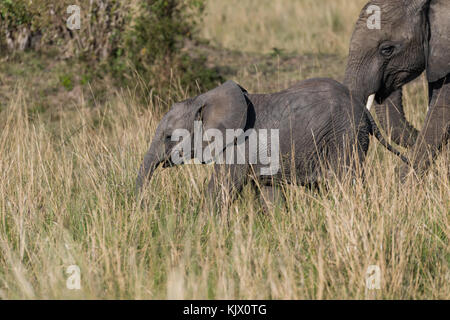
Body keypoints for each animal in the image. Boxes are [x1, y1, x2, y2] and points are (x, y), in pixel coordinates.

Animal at [136, 79, 408, 204]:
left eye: (169, 137)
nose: (143, 205)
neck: (203, 98)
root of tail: (365, 112)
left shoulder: (238, 147)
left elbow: (223, 188)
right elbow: (269, 193)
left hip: (345, 136)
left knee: (346, 183)